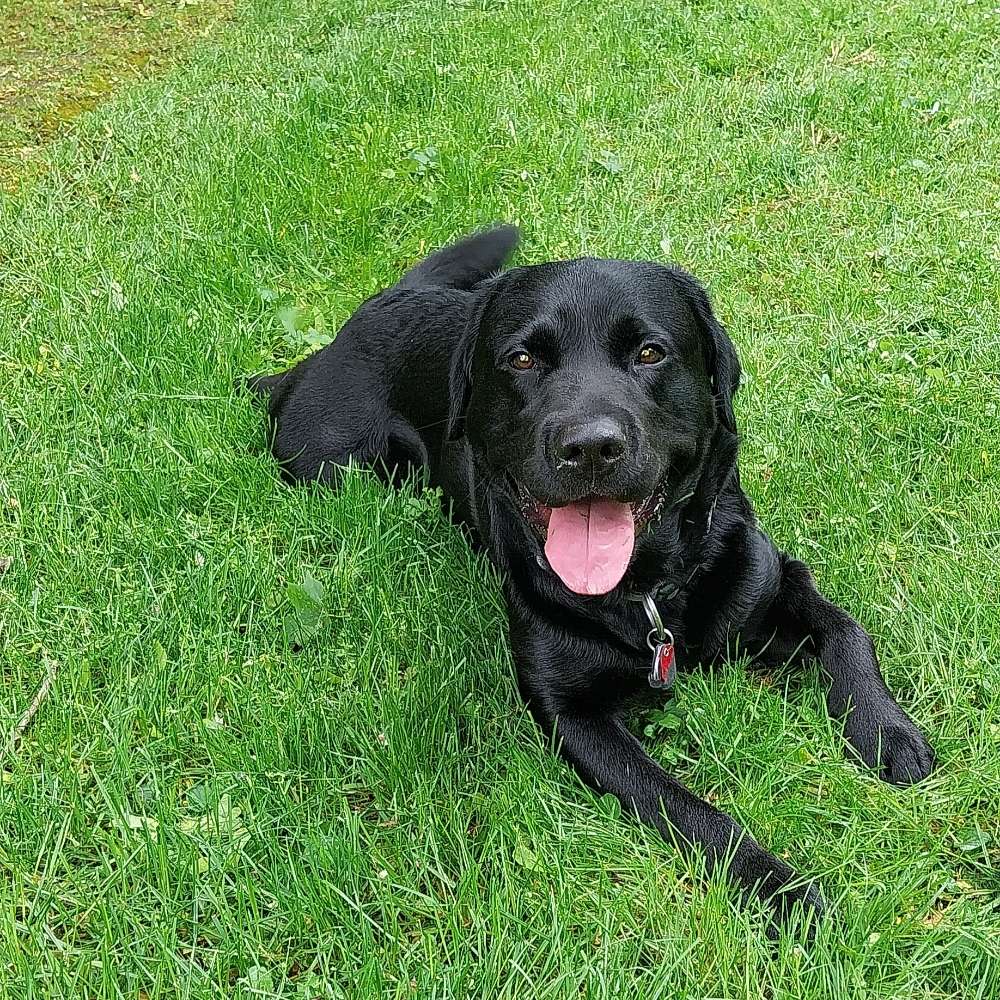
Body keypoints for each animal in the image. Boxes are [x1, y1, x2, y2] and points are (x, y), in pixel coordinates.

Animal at [246, 227, 932, 928]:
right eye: (522, 359)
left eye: (651, 352)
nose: (591, 446)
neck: (646, 593)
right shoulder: (570, 712)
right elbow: (683, 805)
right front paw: (779, 888)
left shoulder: (769, 584)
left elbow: (847, 631)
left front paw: (888, 732)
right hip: (330, 463)